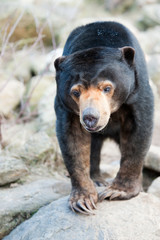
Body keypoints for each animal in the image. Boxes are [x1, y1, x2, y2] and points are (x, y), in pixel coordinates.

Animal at [53, 21, 154, 215]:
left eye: (107, 88)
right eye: (75, 92)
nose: (90, 117)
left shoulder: (137, 91)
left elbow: (138, 133)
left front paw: (117, 191)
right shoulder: (65, 106)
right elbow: (73, 141)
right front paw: (82, 200)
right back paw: (97, 179)